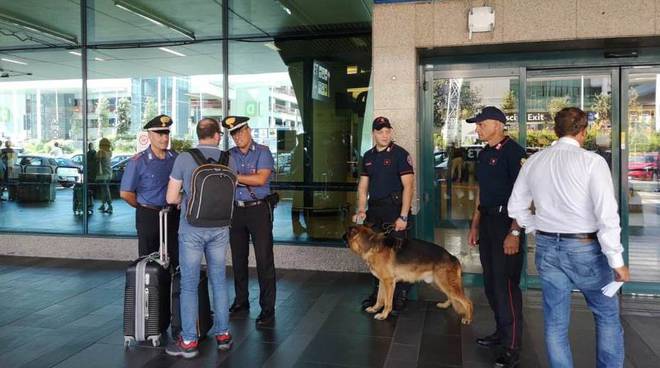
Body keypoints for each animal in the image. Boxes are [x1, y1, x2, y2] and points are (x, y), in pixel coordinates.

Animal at [342, 226, 472, 324]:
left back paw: (468, 319)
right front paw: (375, 309)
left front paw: (383, 315)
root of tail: (453, 257)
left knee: (468, 302)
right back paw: (445, 305)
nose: (341, 238)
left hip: (446, 284)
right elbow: (379, 299)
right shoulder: (382, 282)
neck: (371, 244)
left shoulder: (389, 283)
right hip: (439, 284)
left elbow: (387, 302)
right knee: (451, 297)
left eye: (345, 235)